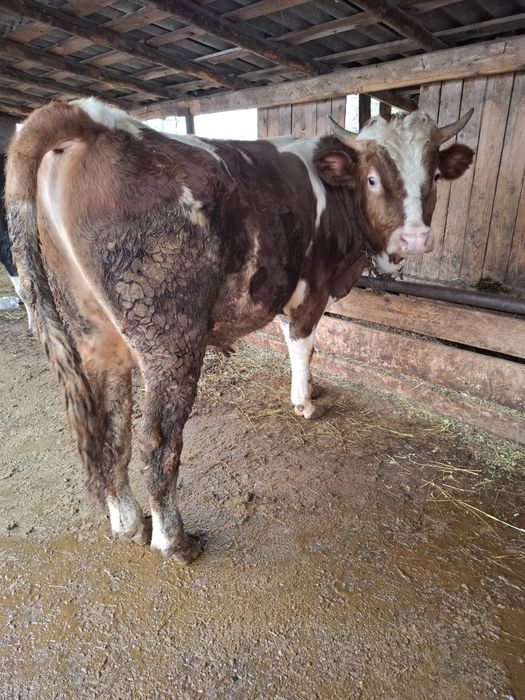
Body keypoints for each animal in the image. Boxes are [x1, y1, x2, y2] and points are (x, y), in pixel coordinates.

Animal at [5, 98, 474, 562]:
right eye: (373, 178)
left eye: (433, 175)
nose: (415, 238)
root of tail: (91, 118)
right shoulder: (313, 285)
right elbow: (304, 343)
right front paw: (306, 404)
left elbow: (289, 338)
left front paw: (309, 390)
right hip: (169, 336)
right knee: (157, 437)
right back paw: (175, 541)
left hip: (94, 333)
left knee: (109, 423)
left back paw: (127, 522)